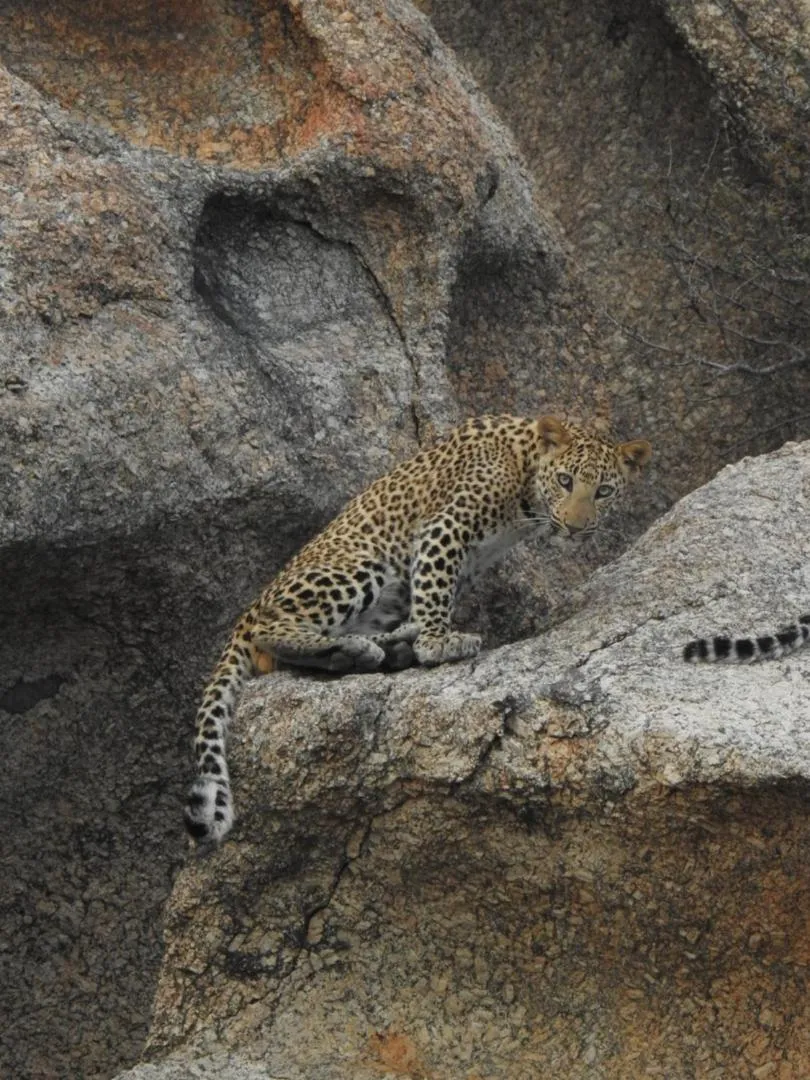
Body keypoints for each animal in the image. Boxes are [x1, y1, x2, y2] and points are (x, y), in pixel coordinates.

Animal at [184, 413, 652, 845]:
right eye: (565, 480)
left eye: (603, 491)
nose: (576, 527)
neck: (527, 482)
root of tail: (247, 611)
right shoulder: (445, 528)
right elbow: (434, 587)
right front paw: (438, 643)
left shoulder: (464, 563)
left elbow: (431, 594)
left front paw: (424, 637)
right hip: (360, 566)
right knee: (272, 630)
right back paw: (360, 649)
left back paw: (380, 648)